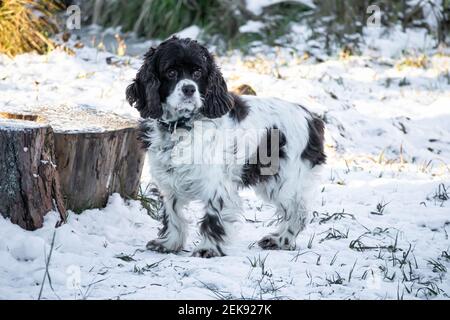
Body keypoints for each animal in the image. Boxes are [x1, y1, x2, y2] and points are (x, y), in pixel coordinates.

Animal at [125, 37, 326, 258]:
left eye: (198, 72)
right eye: (170, 72)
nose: (189, 89)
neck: (181, 126)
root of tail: (312, 118)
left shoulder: (217, 184)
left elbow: (213, 217)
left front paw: (208, 248)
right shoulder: (169, 183)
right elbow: (173, 214)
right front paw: (168, 244)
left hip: (284, 180)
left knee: (298, 211)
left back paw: (280, 240)